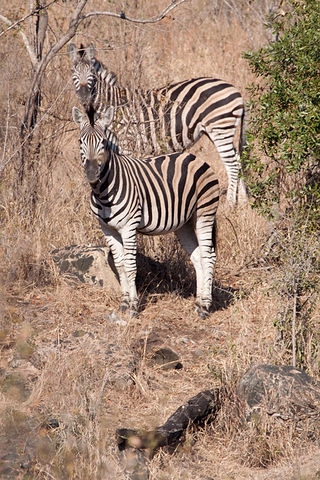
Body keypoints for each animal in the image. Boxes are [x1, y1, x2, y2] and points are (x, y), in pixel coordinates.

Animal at [69, 42, 246, 204]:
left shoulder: (128, 144)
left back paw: (230, 203)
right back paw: (244, 201)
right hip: (218, 130)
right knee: (238, 160)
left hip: (220, 128)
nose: (84, 97)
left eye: (92, 73)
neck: (112, 104)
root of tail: (236, 90)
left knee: (232, 164)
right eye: (73, 72)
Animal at [72, 104, 220, 318]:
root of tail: (195, 157)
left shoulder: (129, 227)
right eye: (80, 141)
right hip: (184, 223)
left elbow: (130, 265)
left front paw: (133, 307)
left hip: (204, 213)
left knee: (208, 257)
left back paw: (205, 308)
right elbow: (120, 265)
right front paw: (124, 303)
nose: (91, 173)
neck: (103, 191)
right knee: (198, 257)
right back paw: (199, 303)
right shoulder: (107, 229)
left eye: (103, 142)